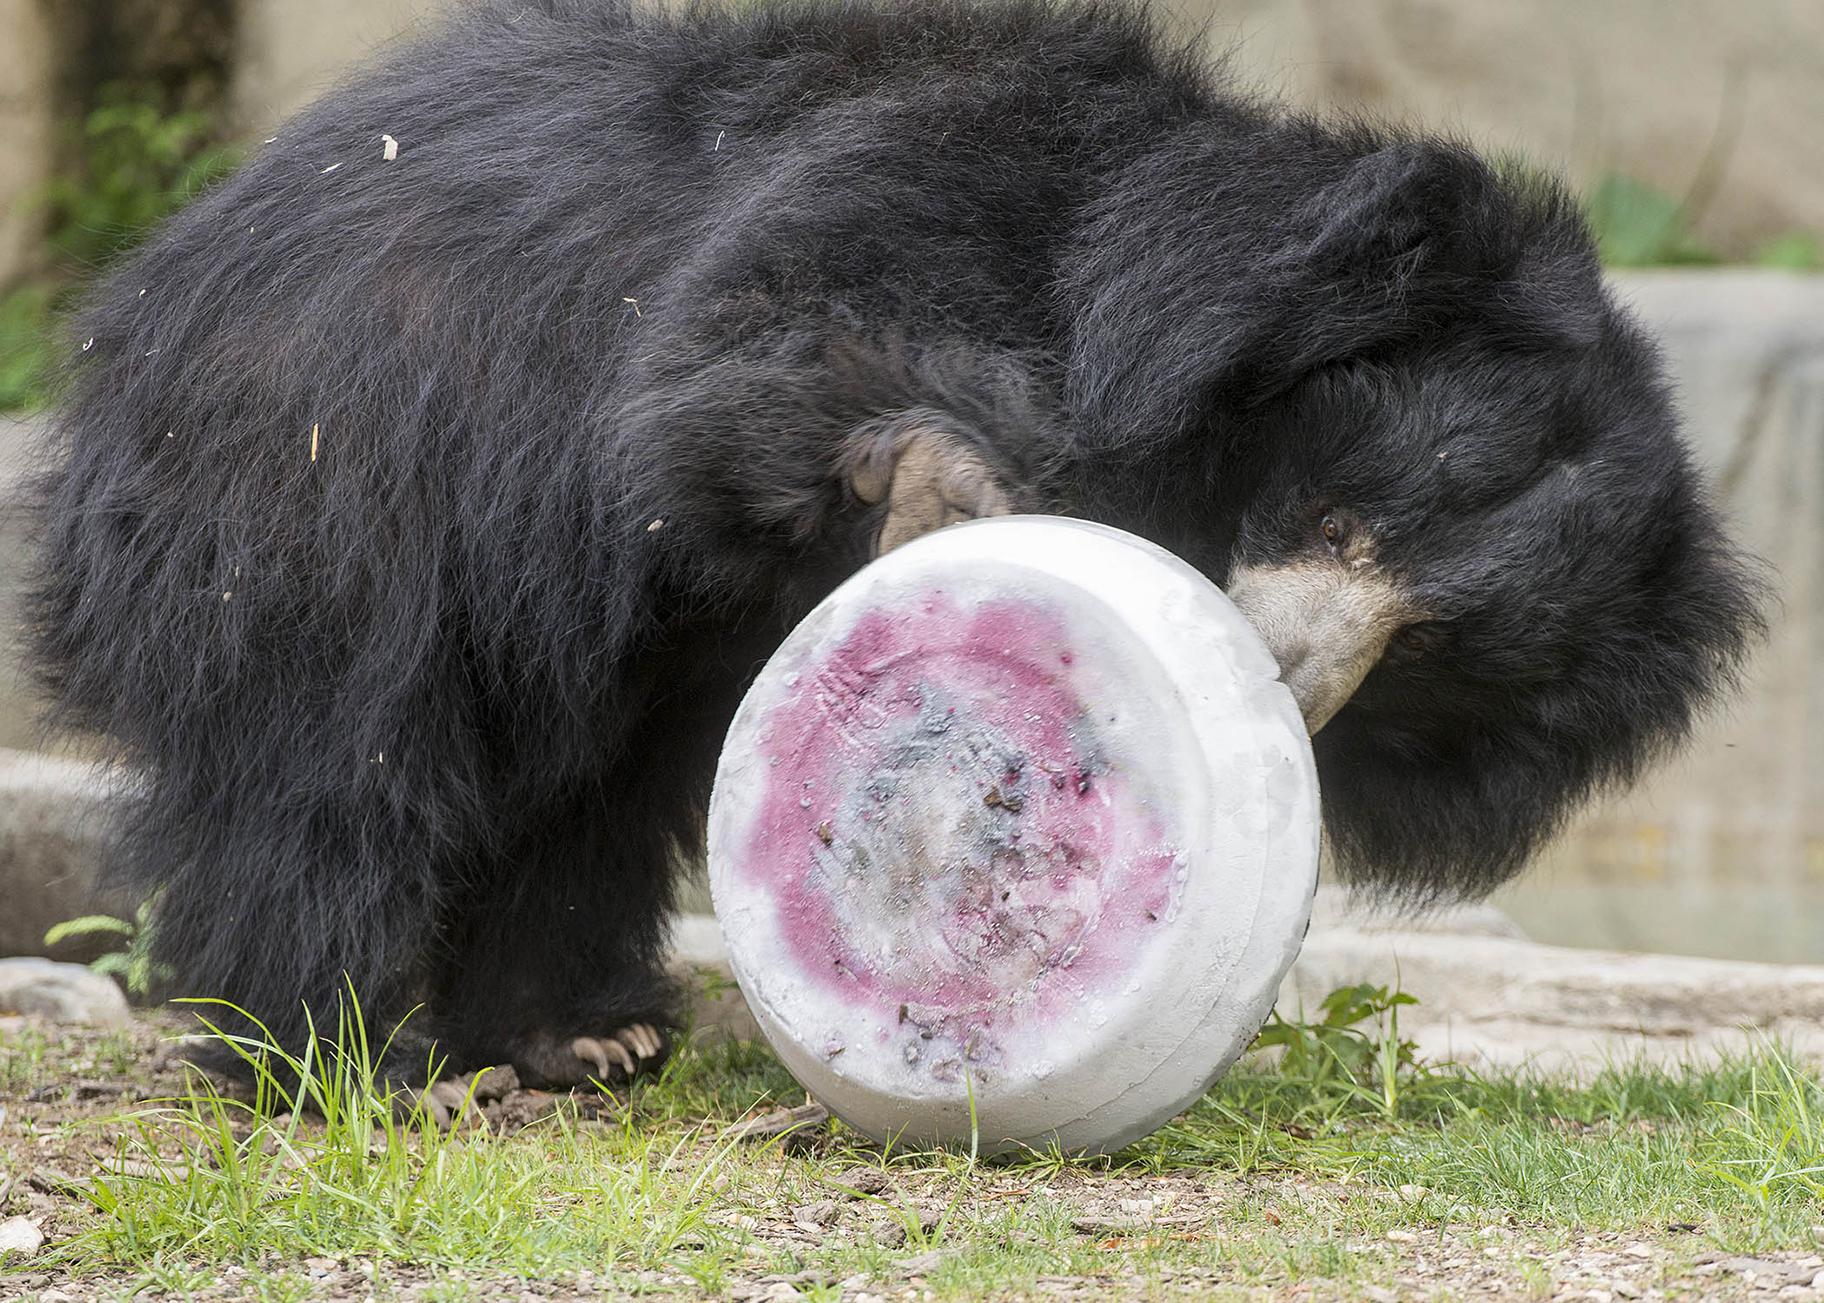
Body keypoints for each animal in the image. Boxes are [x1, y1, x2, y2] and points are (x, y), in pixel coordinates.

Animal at [28, 0, 1758, 1087]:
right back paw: (351, 1059)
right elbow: (761, 334)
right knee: (328, 766)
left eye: (1421, 648)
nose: (1274, 666)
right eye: (1343, 515)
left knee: (581, 796)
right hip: (322, 478)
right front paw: (947, 490)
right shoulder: (942, 176)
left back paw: (570, 1036)